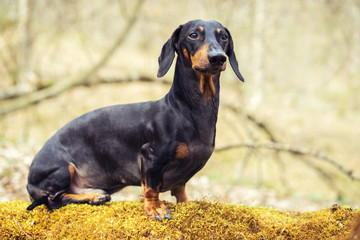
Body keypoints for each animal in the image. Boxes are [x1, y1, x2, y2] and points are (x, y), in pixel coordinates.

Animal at [26, 19, 243, 220]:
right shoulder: (150, 156)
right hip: (62, 169)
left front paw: (185, 203)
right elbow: (151, 188)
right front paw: (155, 208)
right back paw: (94, 198)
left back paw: (95, 195)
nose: (218, 58)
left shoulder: (183, 175)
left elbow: (180, 189)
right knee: (53, 200)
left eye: (223, 37)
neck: (187, 110)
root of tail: (29, 182)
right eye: (193, 35)